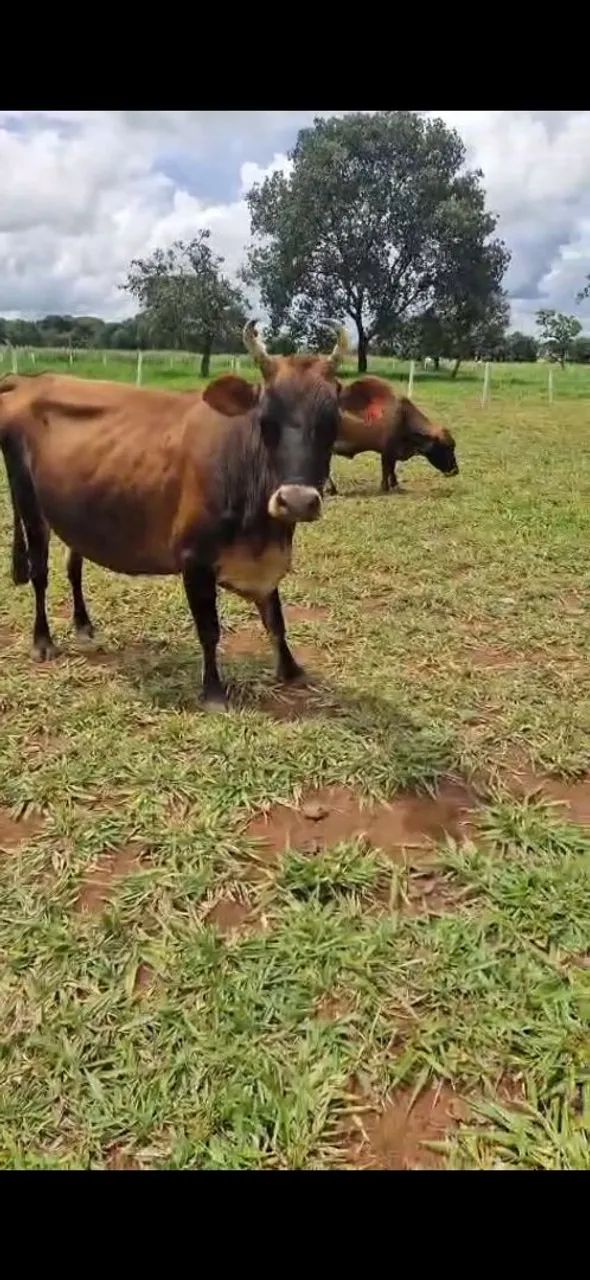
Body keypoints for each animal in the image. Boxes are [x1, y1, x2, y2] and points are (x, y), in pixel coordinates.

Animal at [0, 323, 348, 711]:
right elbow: (209, 630)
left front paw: (290, 669)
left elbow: (275, 618)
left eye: (332, 422)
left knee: (73, 566)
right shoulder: (193, 560)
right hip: (27, 499)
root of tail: (29, 381)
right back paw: (43, 641)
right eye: (265, 421)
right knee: (39, 572)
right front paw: (213, 692)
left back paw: (84, 626)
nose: (298, 501)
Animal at [324, 377, 458, 496]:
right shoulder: (387, 451)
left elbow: (392, 469)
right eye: (447, 447)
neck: (403, 416)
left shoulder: (393, 452)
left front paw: (395, 484)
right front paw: (385, 487)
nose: (455, 471)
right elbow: (386, 469)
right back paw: (331, 490)